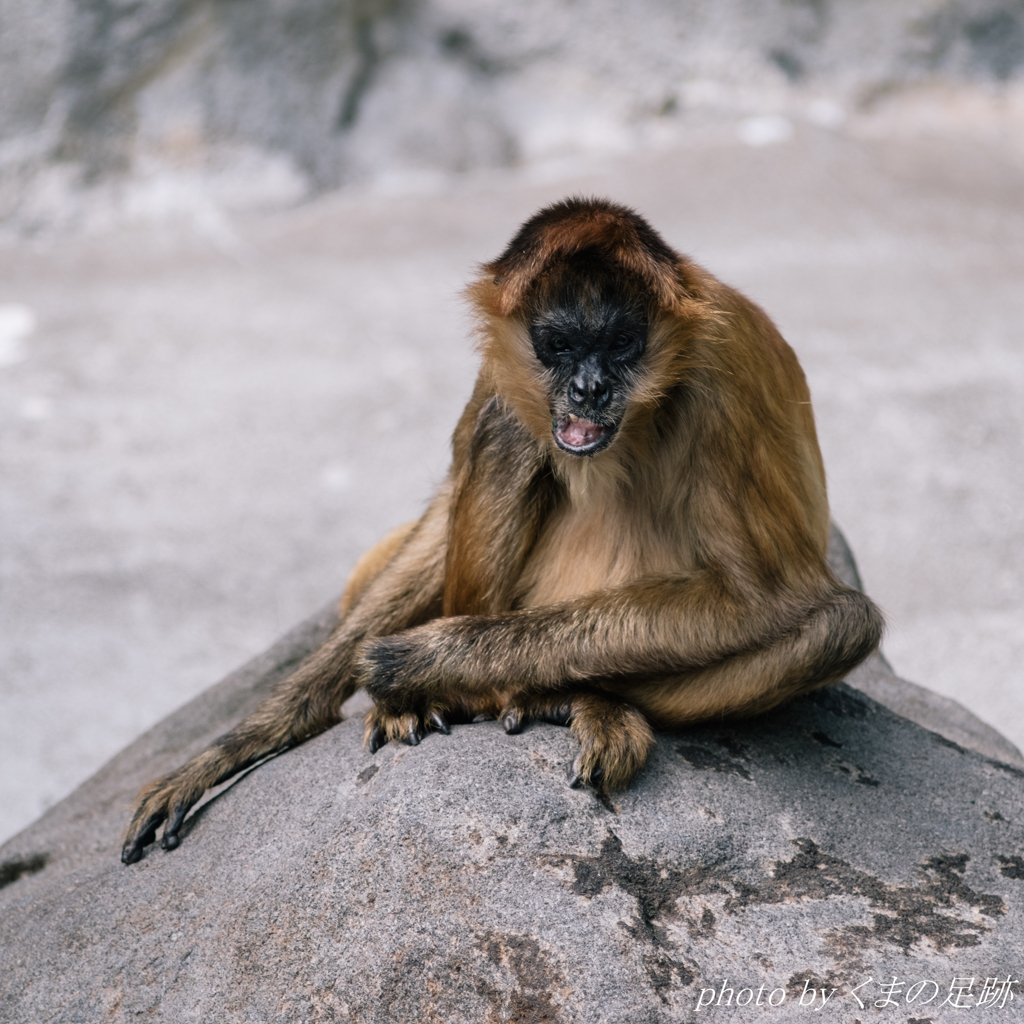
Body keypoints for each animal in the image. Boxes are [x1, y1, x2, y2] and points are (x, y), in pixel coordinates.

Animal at [123, 193, 884, 864]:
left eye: (622, 343)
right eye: (559, 344)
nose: (589, 389)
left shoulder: (717, 371)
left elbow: (762, 601)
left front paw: (418, 660)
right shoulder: (506, 360)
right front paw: (252, 734)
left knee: (840, 622)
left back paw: (556, 694)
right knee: (506, 425)